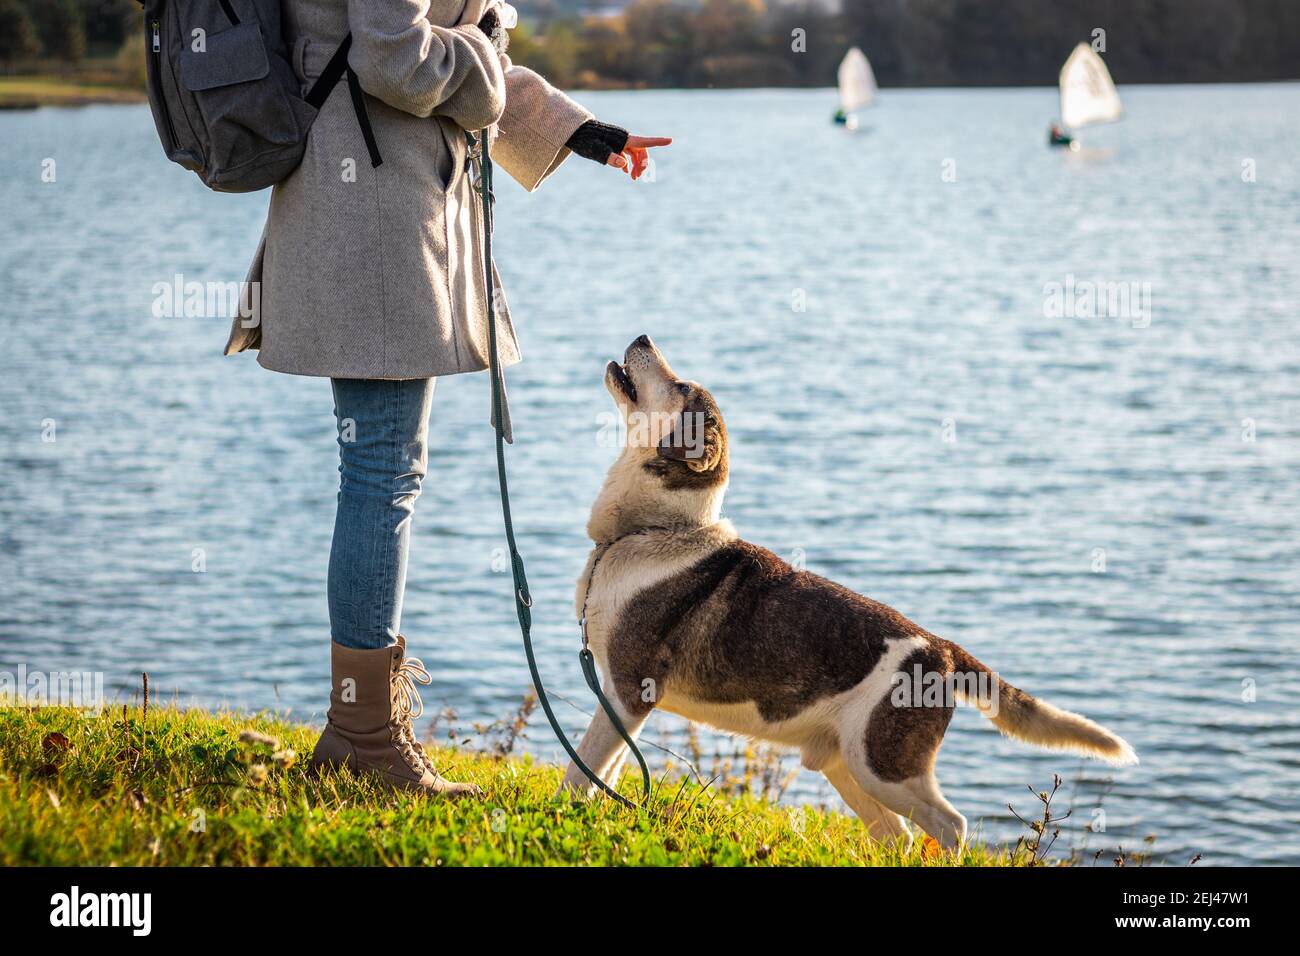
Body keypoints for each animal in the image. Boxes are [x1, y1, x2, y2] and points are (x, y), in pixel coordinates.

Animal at [559, 335, 1138, 842]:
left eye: (680, 386)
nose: (643, 337)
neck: (656, 529)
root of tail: (946, 653)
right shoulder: (622, 704)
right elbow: (607, 771)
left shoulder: (629, 692)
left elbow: (581, 767)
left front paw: (564, 817)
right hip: (849, 768)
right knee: (898, 837)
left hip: (883, 766)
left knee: (950, 826)